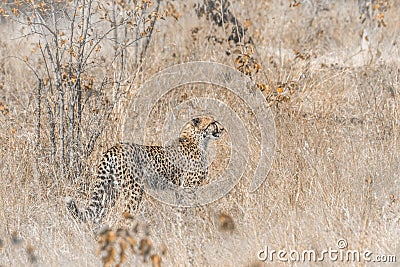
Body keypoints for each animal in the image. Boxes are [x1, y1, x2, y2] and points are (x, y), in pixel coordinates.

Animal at [65, 116, 222, 223]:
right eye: (212, 123)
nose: (222, 129)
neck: (197, 140)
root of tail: (114, 147)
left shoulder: (180, 190)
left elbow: (180, 211)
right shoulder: (189, 188)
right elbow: (191, 209)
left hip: (110, 190)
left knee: (99, 214)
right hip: (133, 190)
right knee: (125, 214)